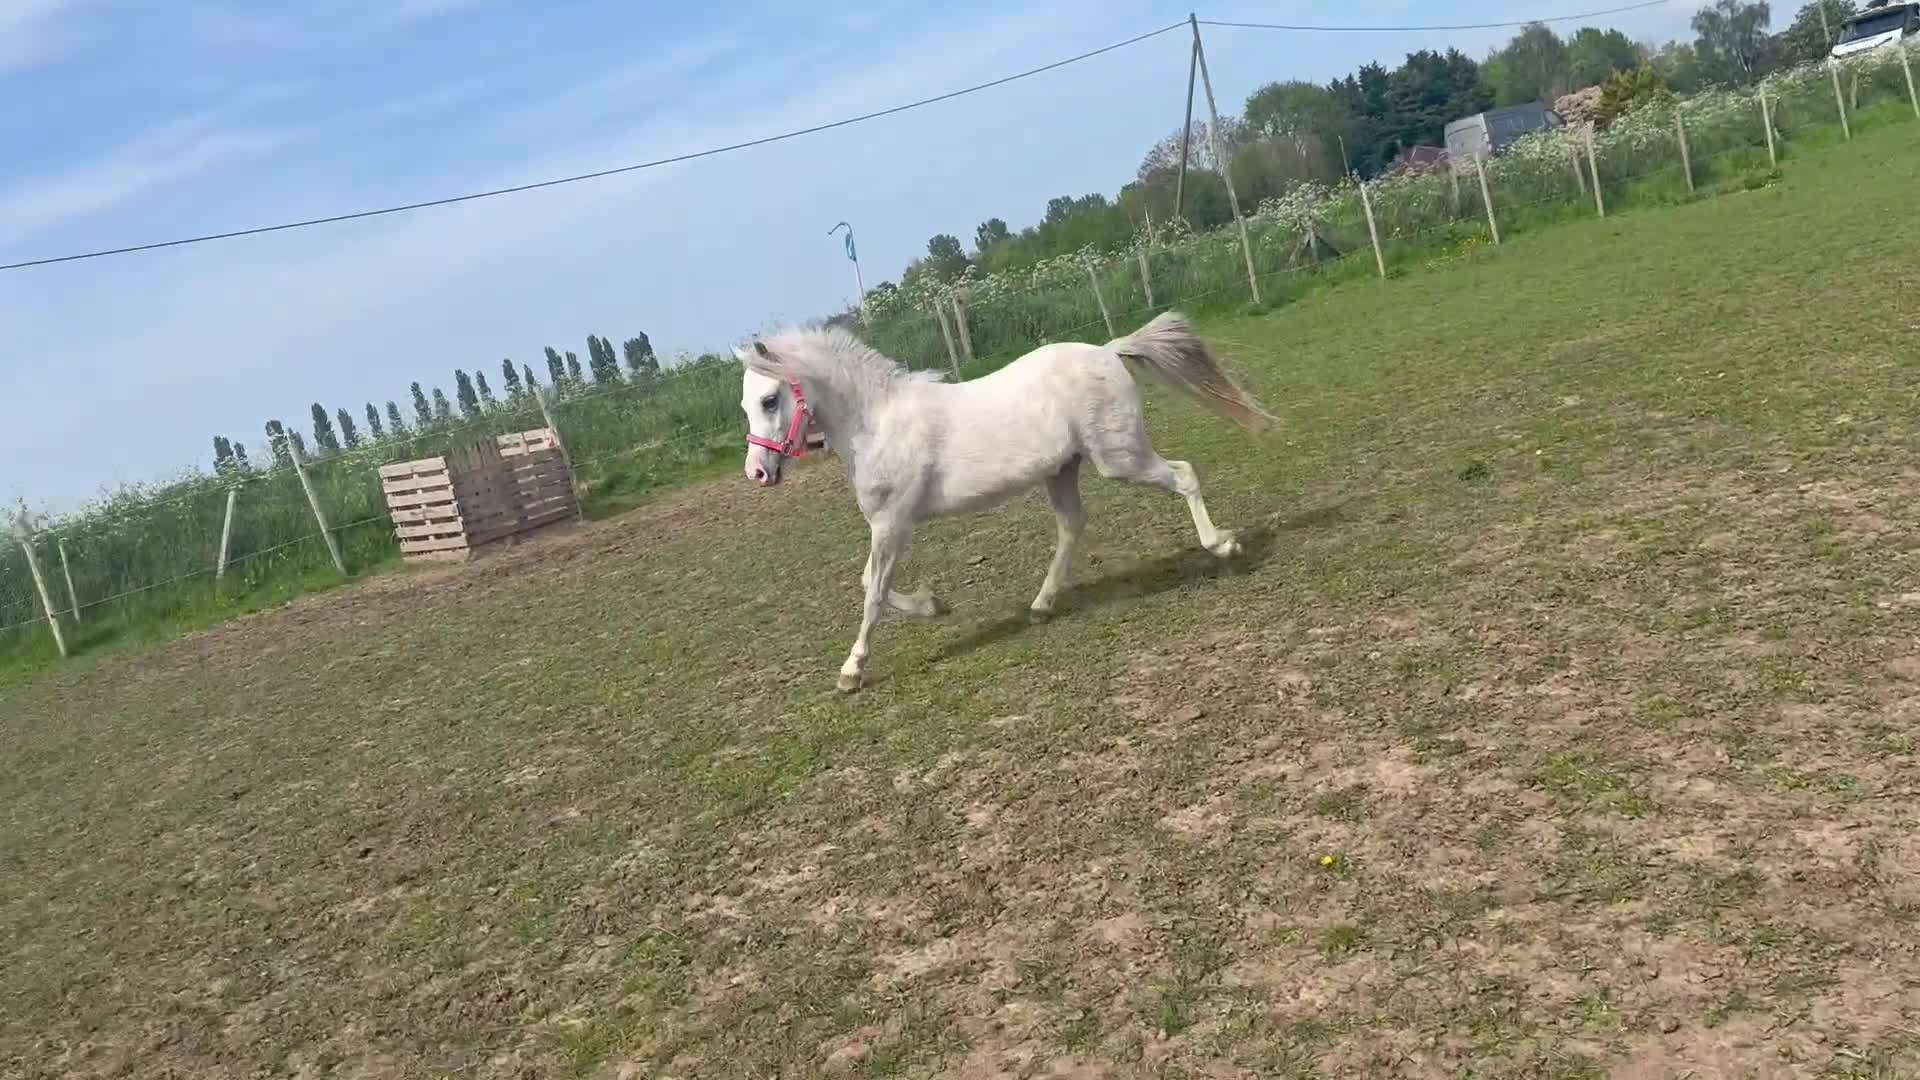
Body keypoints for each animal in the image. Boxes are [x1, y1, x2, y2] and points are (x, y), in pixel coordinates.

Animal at [736, 310, 1272, 692]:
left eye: (769, 400)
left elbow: (872, 594)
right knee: (1072, 526)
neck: (877, 424)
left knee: (1183, 476)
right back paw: (1041, 605)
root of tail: (1108, 350)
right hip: (1064, 470)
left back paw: (1224, 546)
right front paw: (935, 605)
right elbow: (873, 584)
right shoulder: (889, 526)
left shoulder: (892, 524)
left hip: (1119, 458)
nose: (757, 473)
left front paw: (852, 671)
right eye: (745, 404)